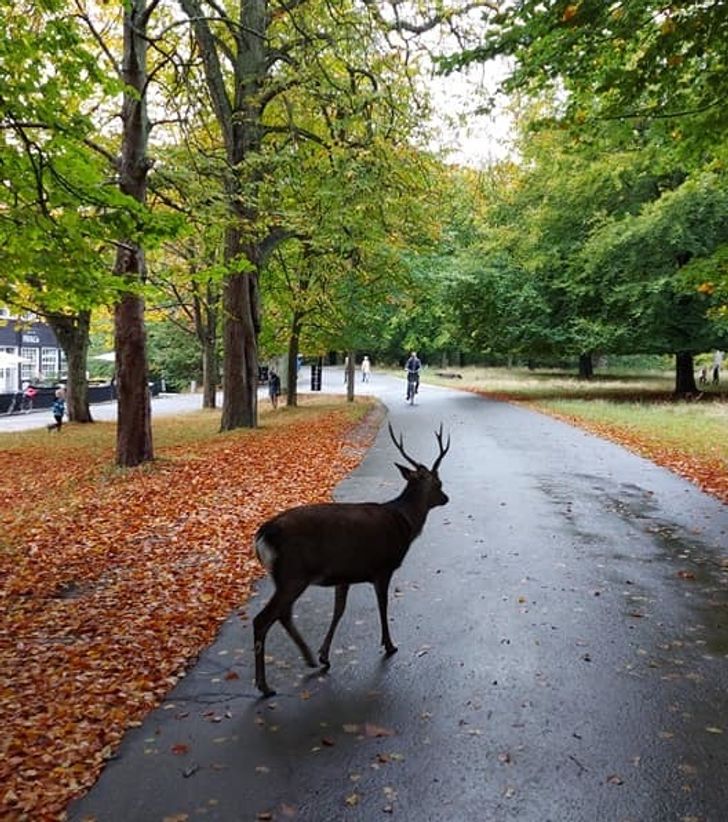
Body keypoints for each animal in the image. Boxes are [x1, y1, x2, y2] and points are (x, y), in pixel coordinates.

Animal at [253, 422, 452, 700]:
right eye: (438, 482)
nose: (446, 497)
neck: (405, 522)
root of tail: (264, 534)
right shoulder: (383, 567)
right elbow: (382, 606)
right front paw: (389, 645)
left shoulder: (343, 575)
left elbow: (339, 611)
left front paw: (324, 655)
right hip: (293, 573)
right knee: (262, 619)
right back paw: (265, 685)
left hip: (287, 578)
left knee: (283, 614)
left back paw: (308, 658)